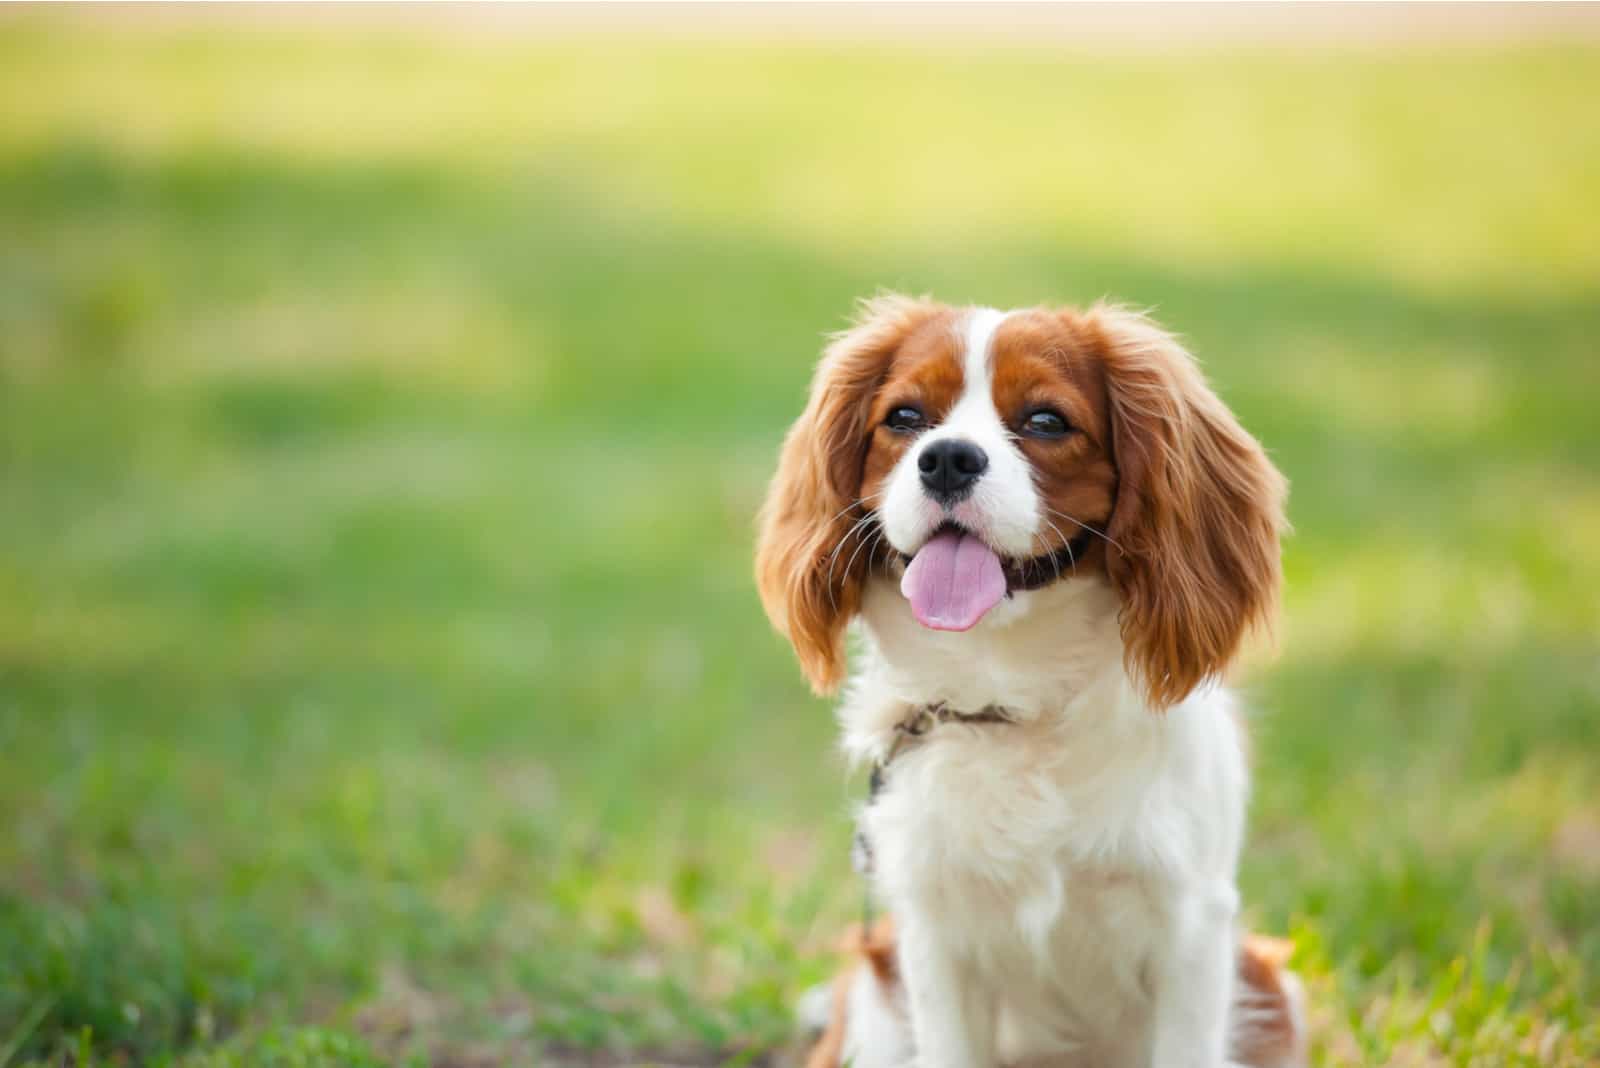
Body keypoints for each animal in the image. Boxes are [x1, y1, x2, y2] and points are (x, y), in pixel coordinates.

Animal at [752, 298, 1299, 1068]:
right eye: (904, 418)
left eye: (1045, 421)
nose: (947, 458)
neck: (1010, 698)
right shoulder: (932, 934)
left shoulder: (1193, 927)